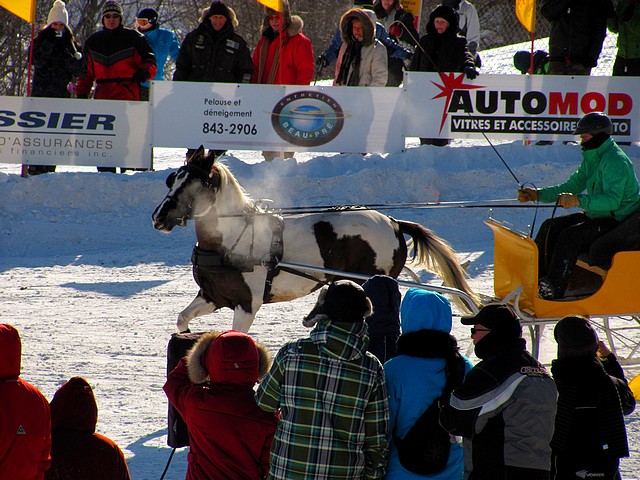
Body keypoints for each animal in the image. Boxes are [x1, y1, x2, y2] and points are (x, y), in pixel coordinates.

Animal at [152, 147, 478, 334]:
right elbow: (182, 320)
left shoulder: (247, 305)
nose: (158, 217)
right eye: (173, 179)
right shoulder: (212, 296)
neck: (231, 240)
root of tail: (394, 223)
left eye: (193, 183)